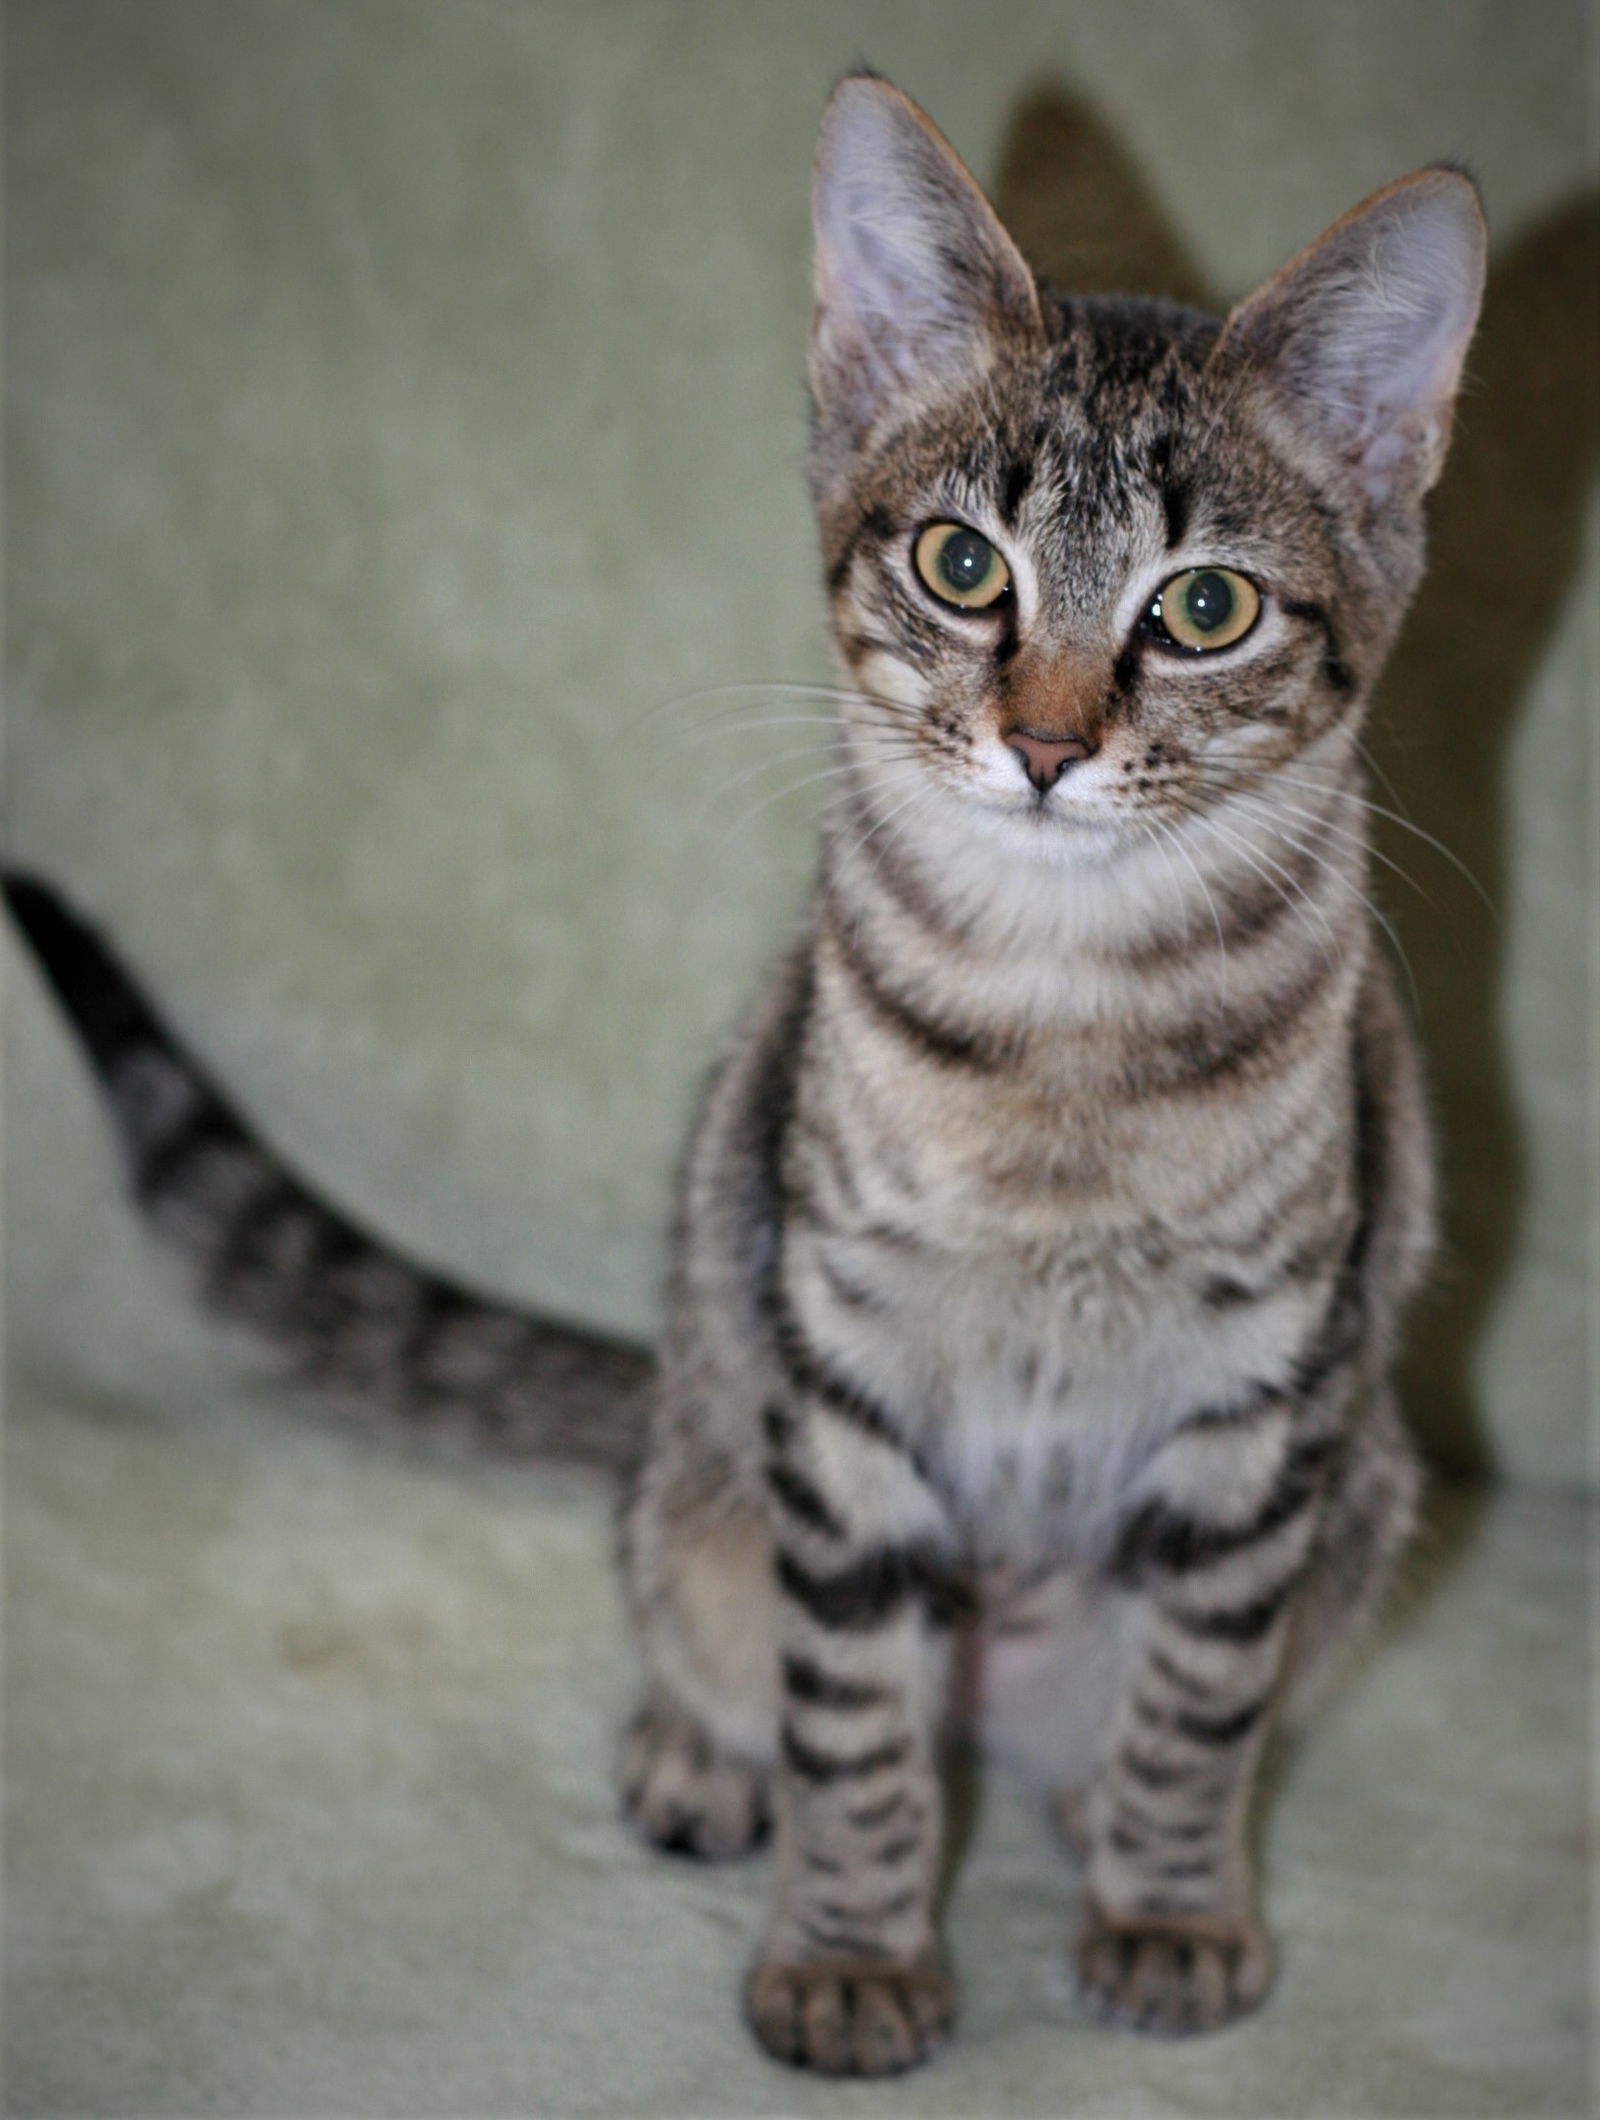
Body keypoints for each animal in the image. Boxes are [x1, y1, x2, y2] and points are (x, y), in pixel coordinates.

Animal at [12, 74, 1491, 2077]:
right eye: (963, 566)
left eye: (1202, 610)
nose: (1044, 743)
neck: (1068, 1028)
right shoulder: (839, 1369)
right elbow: (852, 1721)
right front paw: (855, 1954)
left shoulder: (1268, 1398)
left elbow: (1196, 1709)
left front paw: (1171, 1910)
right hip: (717, 1449)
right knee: (712, 1621)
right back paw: (702, 1758)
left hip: (1363, 1496)